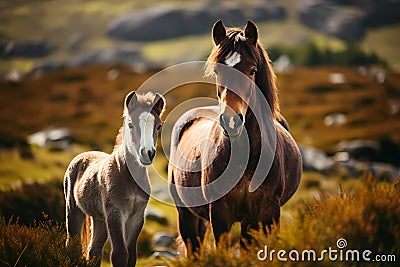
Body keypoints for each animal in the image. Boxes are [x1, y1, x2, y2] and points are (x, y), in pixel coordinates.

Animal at [167, 19, 302, 254]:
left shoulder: (267, 214)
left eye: (253, 70)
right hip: (186, 214)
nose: (231, 120)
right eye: (217, 72)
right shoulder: (220, 214)